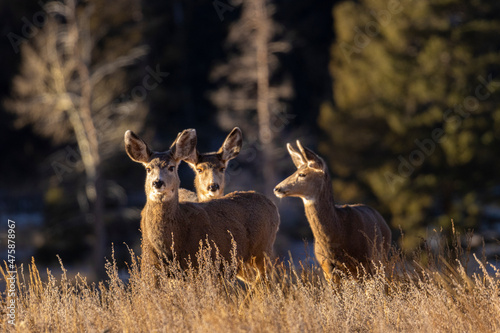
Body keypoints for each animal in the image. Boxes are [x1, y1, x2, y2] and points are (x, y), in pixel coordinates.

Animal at [124, 128, 282, 278]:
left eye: (171, 167)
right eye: (148, 169)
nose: (157, 182)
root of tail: (271, 203)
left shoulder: (203, 264)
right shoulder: (150, 267)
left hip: (262, 249)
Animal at [274, 140, 390, 278]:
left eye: (302, 174)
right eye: (294, 171)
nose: (277, 188)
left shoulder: (365, 261)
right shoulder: (326, 267)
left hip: (382, 257)